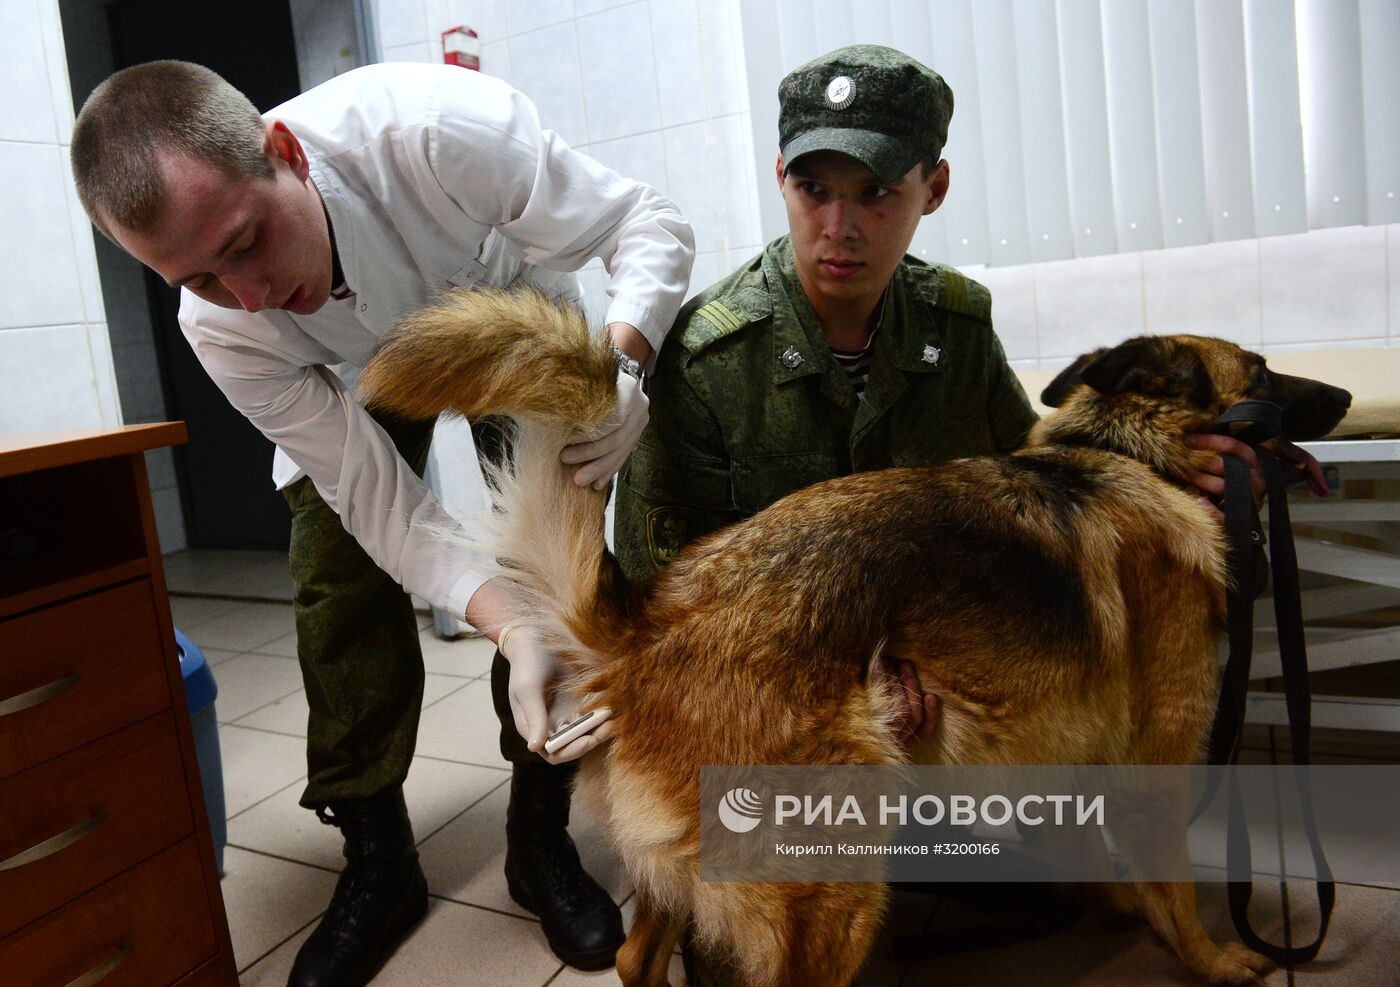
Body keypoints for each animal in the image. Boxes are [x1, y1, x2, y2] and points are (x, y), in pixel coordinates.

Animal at [355, 288, 1349, 980]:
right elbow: (1176, 888)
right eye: (1263, 373)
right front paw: (1214, 959)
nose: (1343, 391)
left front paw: (1115, 905)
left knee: (640, 958)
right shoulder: (1158, 757)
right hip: (833, 888)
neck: (1125, 456)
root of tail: (651, 624)